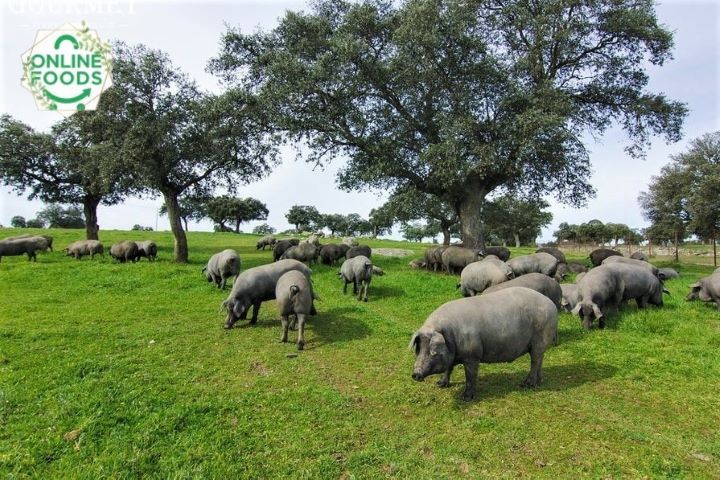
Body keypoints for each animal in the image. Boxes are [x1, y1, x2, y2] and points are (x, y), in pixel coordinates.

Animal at [410, 288, 556, 402]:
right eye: (418, 349)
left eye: (432, 352)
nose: (416, 374)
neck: (450, 334)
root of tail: (551, 304)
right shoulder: (452, 354)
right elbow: (449, 368)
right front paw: (440, 384)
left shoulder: (472, 355)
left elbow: (470, 376)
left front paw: (466, 398)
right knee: (539, 359)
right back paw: (539, 381)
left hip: (539, 339)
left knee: (535, 361)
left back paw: (526, 385)